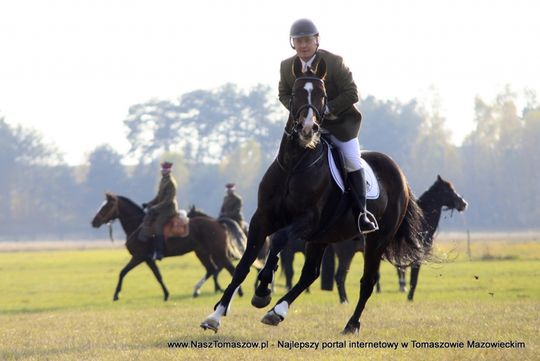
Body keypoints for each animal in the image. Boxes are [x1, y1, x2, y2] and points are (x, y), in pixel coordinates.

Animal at [91, 193, 247, 300]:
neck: (138, 226)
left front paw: (116, 295)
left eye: (107, 206)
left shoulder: (139, 257)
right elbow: (158, 276)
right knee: (212, 269)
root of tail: (217, 222)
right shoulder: (148, 259)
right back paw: (196, 290)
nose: (94, 222)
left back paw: (237, 293)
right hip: (202, 253)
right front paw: (166, 294)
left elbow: (122, 272)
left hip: (217, 253)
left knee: (229, 269)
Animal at [200, 56, 428, 334]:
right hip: (323, 236)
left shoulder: (307, 220)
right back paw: (277, 311)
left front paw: (263, 289)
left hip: (376, 240)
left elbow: (278, 241)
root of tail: (401, 177)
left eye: (322, 95)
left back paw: (350, 324)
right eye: (296, 93)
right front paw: (215, 315)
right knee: (311, 273)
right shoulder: (262, 219)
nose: (308, 128)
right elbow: (244, 264)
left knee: (367, 280)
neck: (294, 164)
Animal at [314, 173, 466, 302]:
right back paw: (344, 301)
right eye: (448, 190)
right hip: (346, 255)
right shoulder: (416, 258)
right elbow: (413, 278)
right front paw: (409, 297)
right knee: (340, 276)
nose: (463, 203)